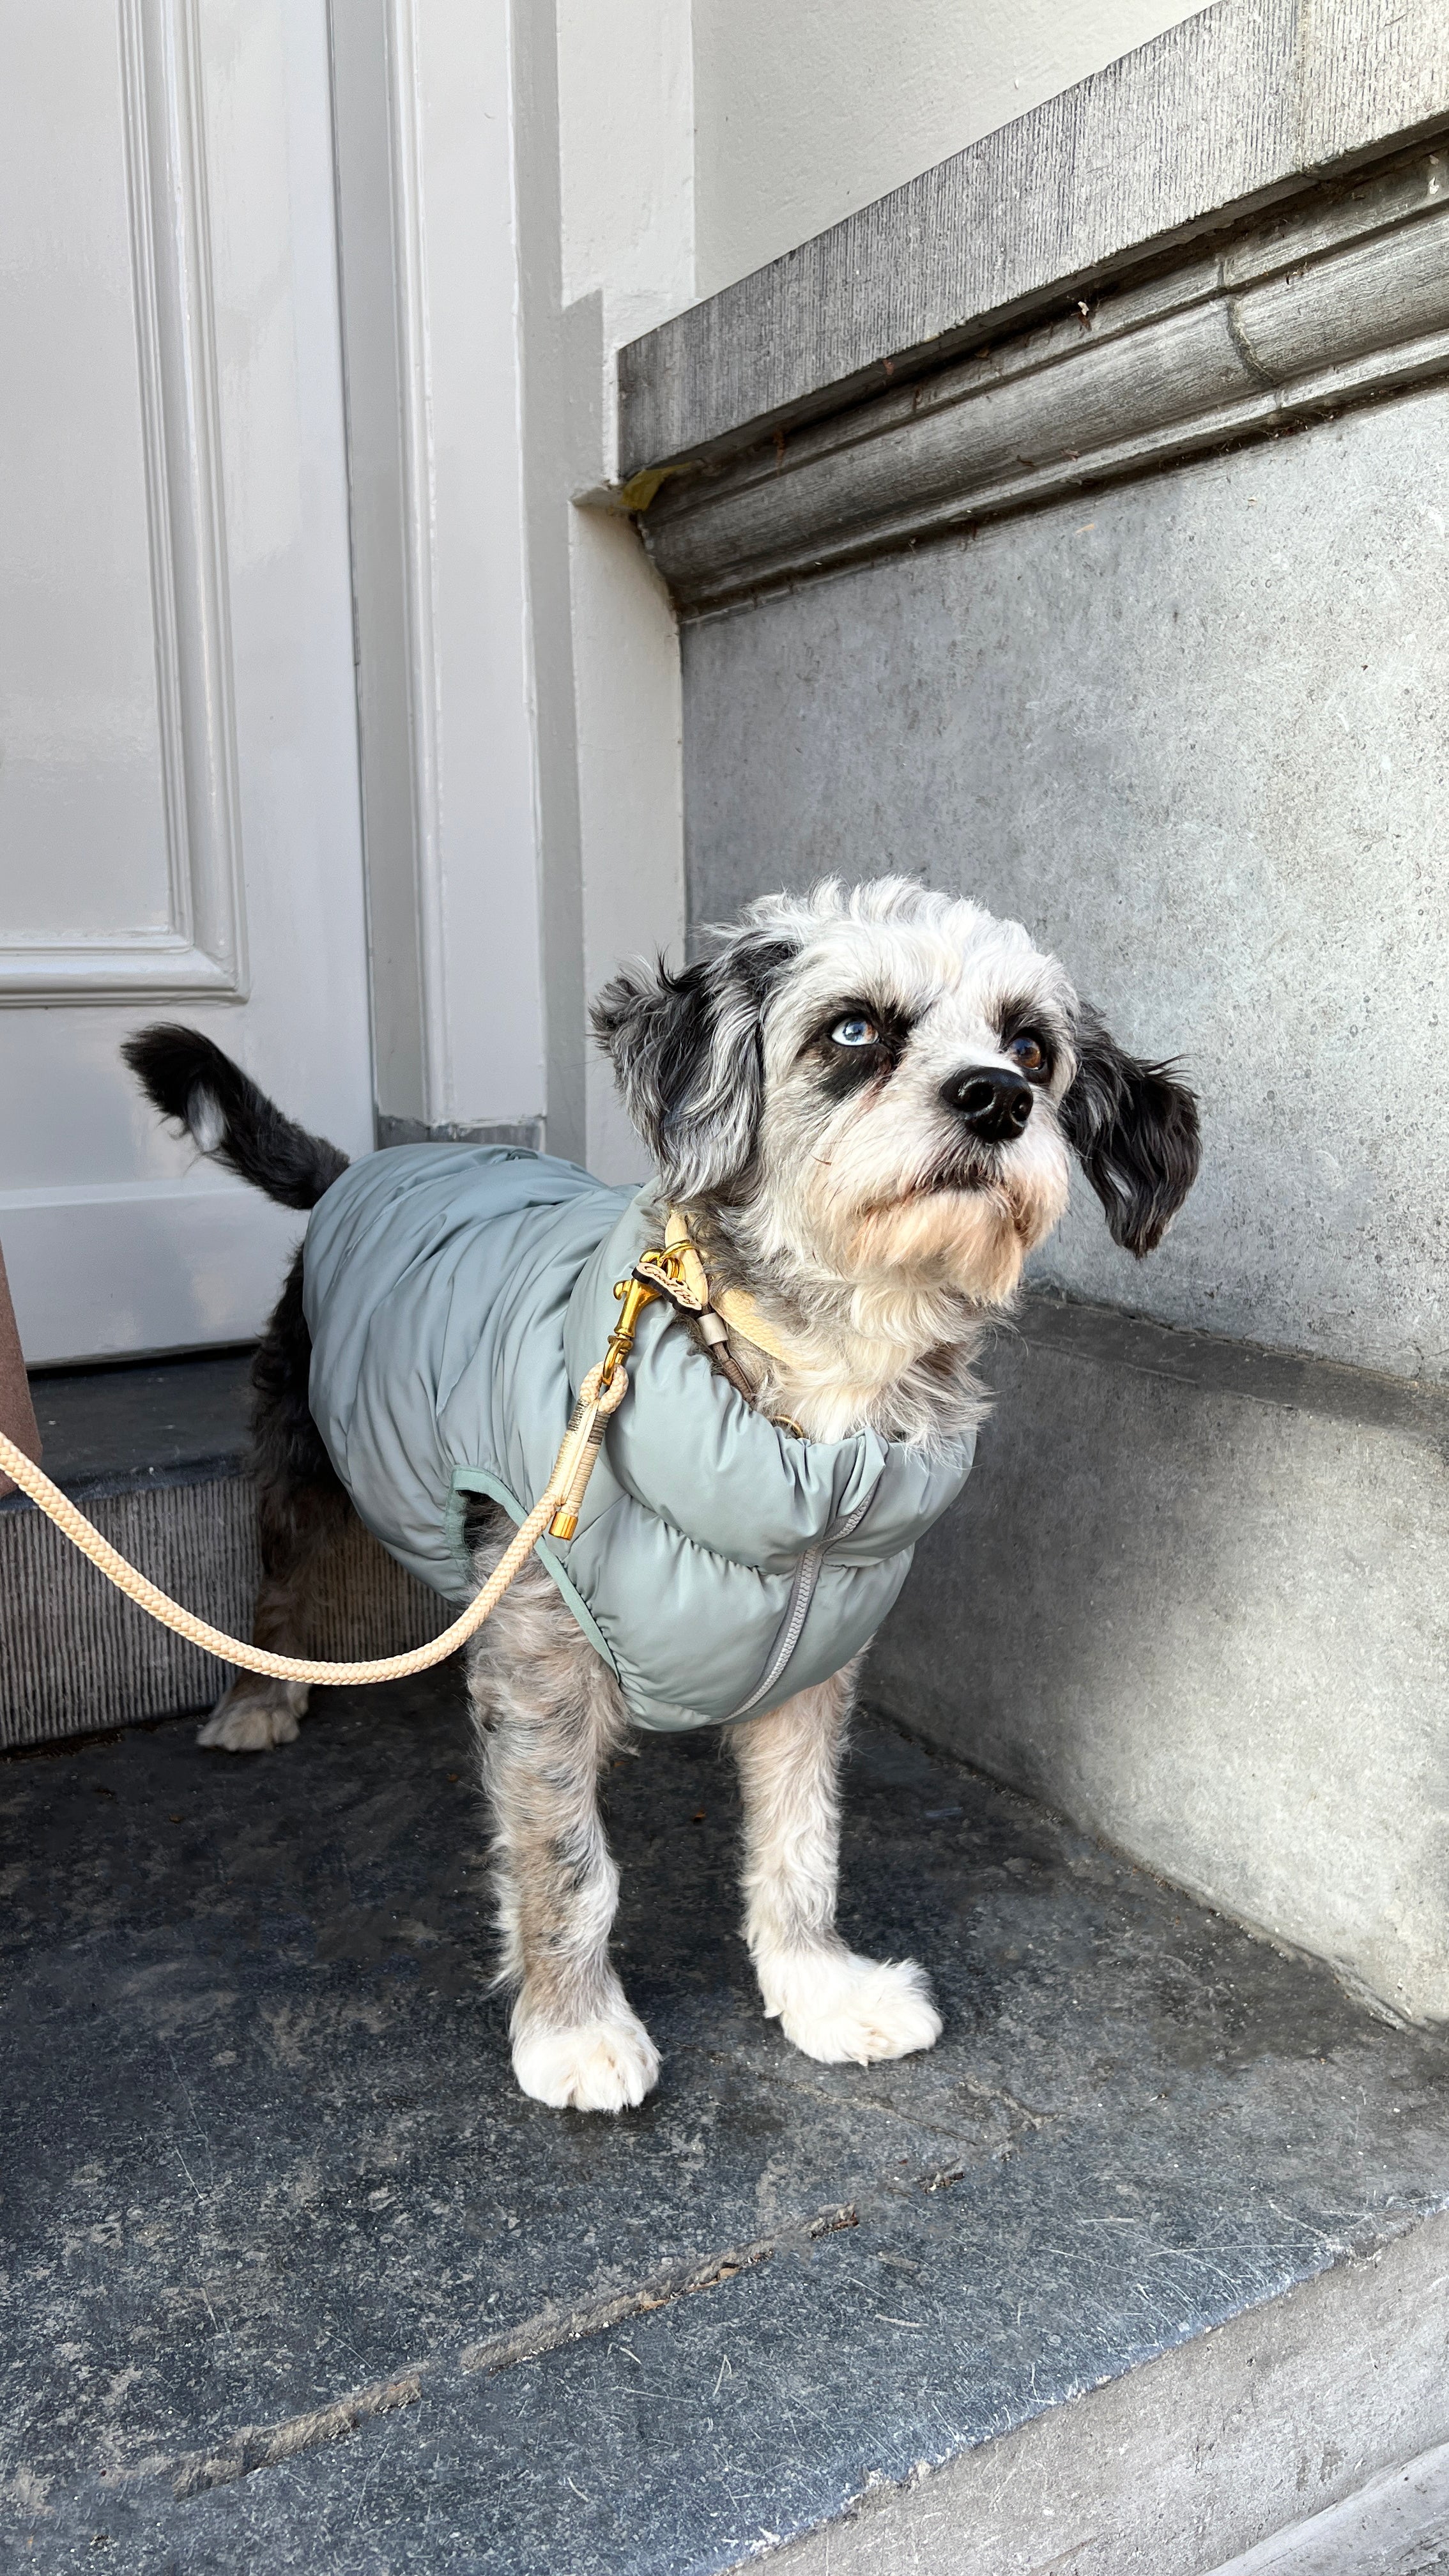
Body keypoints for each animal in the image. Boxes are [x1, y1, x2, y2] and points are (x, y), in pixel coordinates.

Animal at [123, 886, 1191, 2112]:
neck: (814, 1429)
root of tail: (359, 1169)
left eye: (1033, 1049)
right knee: (281, 1576)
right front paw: (573, 2028)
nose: (998, 1098)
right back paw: (259, 1698)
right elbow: (566, 1861)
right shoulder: (541, 1655)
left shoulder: (814, 1663)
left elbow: (802, 1845)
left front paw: (820, 1990)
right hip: (301, 1448)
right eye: (853, 1030)